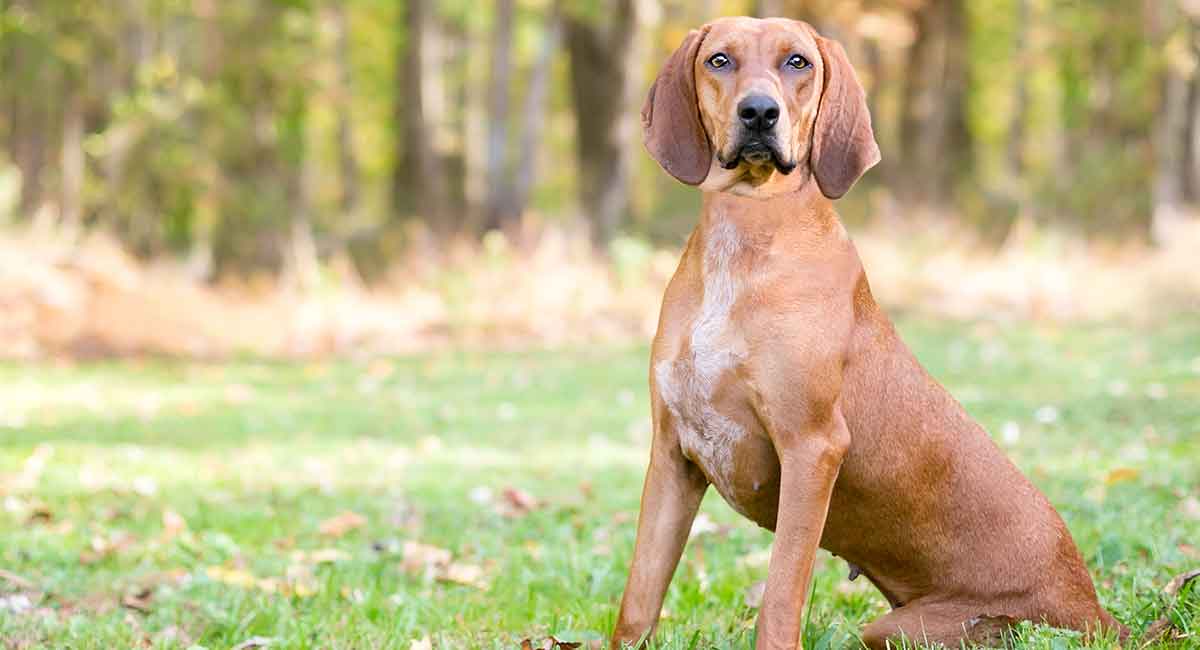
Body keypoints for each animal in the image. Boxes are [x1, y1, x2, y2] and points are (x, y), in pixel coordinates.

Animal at [614, 15, 1128, 650]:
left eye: (798, 62)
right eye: (719, 60)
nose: (759, 112)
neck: (746, 233)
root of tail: (1095, 607)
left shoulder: (812, 447)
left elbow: (780, 597)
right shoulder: (672, 456)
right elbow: (638, 602)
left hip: (903, 627)